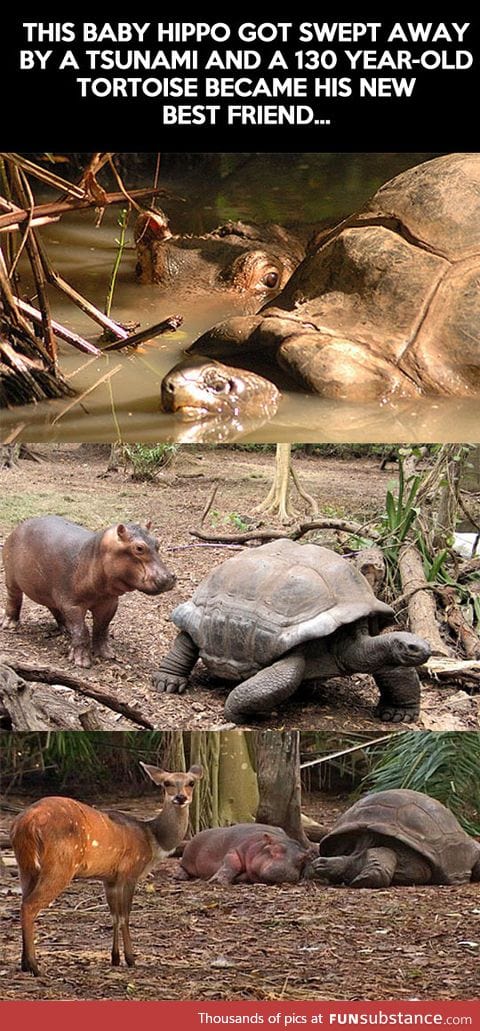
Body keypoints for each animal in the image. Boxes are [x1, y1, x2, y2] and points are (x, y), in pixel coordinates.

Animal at [1, 515, 174, 668]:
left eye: (157, 543)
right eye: (139, 548)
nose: (170, 577)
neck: (93, 556)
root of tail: (19, 527)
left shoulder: (108, 603)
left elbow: (102, 627)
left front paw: (107, 654)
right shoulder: (72, 604)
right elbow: (82, 631)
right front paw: (81, 662)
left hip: (48, 590)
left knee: (54, 607)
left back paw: (66, 630)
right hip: (11, 578)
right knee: (14, 598)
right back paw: (9, 624)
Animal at [11, 767, 202, 973]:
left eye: (191, 782)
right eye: (167, 783)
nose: (181, 797)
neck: (152, 840)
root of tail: (26, 822)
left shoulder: (109, 879)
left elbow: (114, 916)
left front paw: (115, 958)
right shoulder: (130, 872)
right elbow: (125, 915)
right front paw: (131, 959)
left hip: (26, 866)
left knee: (23, 902)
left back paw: (24, 963)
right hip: (60, 865)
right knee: (30, 905)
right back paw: (34, 966)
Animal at [177, 820, 319, 886]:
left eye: (302, 858)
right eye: (273, 849)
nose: (282, 871)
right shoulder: (237, 848)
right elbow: (233, 861)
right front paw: (217, 881)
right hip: (189, 855)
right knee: (181, 864)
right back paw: (179, 876)